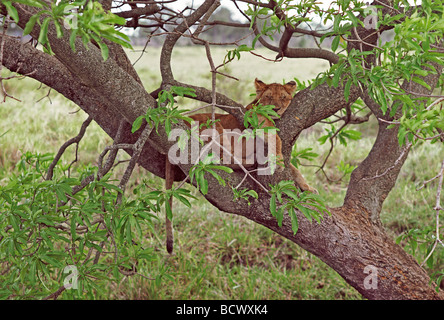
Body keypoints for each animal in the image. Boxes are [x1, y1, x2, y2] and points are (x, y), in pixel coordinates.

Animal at [166, 79, 316, 254]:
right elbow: (277, 138)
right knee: (222, 158)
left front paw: (308, 188)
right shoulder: (259, 122)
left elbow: (294, 169)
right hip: (215, 128)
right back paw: (250, 163)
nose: (276, 109)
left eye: (284, 97)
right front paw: (278, 161)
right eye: (269, 96)